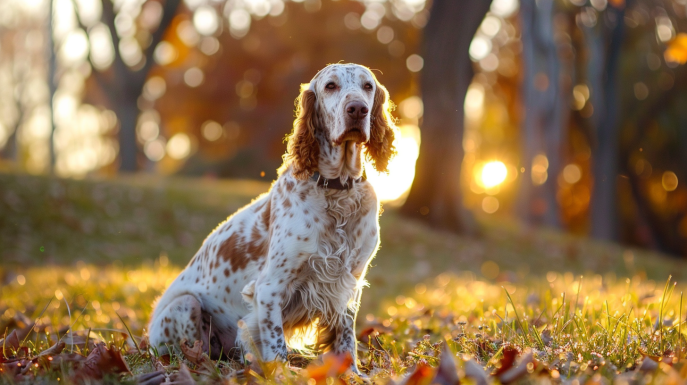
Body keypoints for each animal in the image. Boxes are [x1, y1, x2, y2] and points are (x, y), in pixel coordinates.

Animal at [150, 62, 398, 372]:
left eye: (368, 86)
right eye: (331, 86)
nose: (357, 109)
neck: (337, 191)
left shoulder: (349, 282)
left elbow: (345, 336)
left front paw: (350, 372)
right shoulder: (269, 288)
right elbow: (275, 342)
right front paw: (282, 374)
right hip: (186, 305)